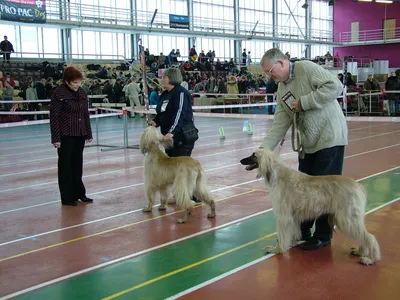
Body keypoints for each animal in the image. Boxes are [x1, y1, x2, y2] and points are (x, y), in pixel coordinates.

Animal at [241, 148, 382, 264]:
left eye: (253, 155)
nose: (241, 160)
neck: (277, 174)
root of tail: (358, 186)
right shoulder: (293, 216)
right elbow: (293, 232)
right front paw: (291, 242)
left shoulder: (284, 216)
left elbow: (282, 234)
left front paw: (278, 249)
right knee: (365, 235)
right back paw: (360, 252)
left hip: (347, 218)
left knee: (370, 237)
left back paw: (370, 259)